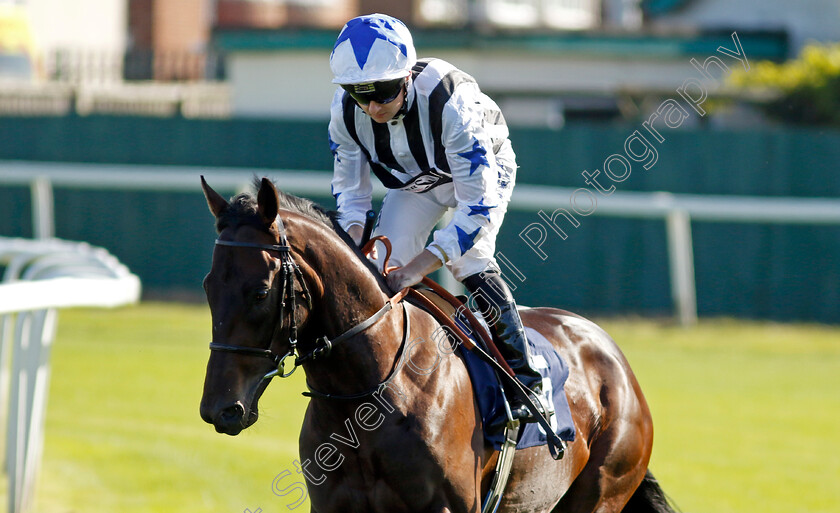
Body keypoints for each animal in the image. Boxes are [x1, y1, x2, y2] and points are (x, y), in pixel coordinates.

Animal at [200, 177, 680, 512]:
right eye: (208, 287)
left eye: (260, 292)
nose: (220, 409)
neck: (370, 396)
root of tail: (614, 359)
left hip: (603, 490)